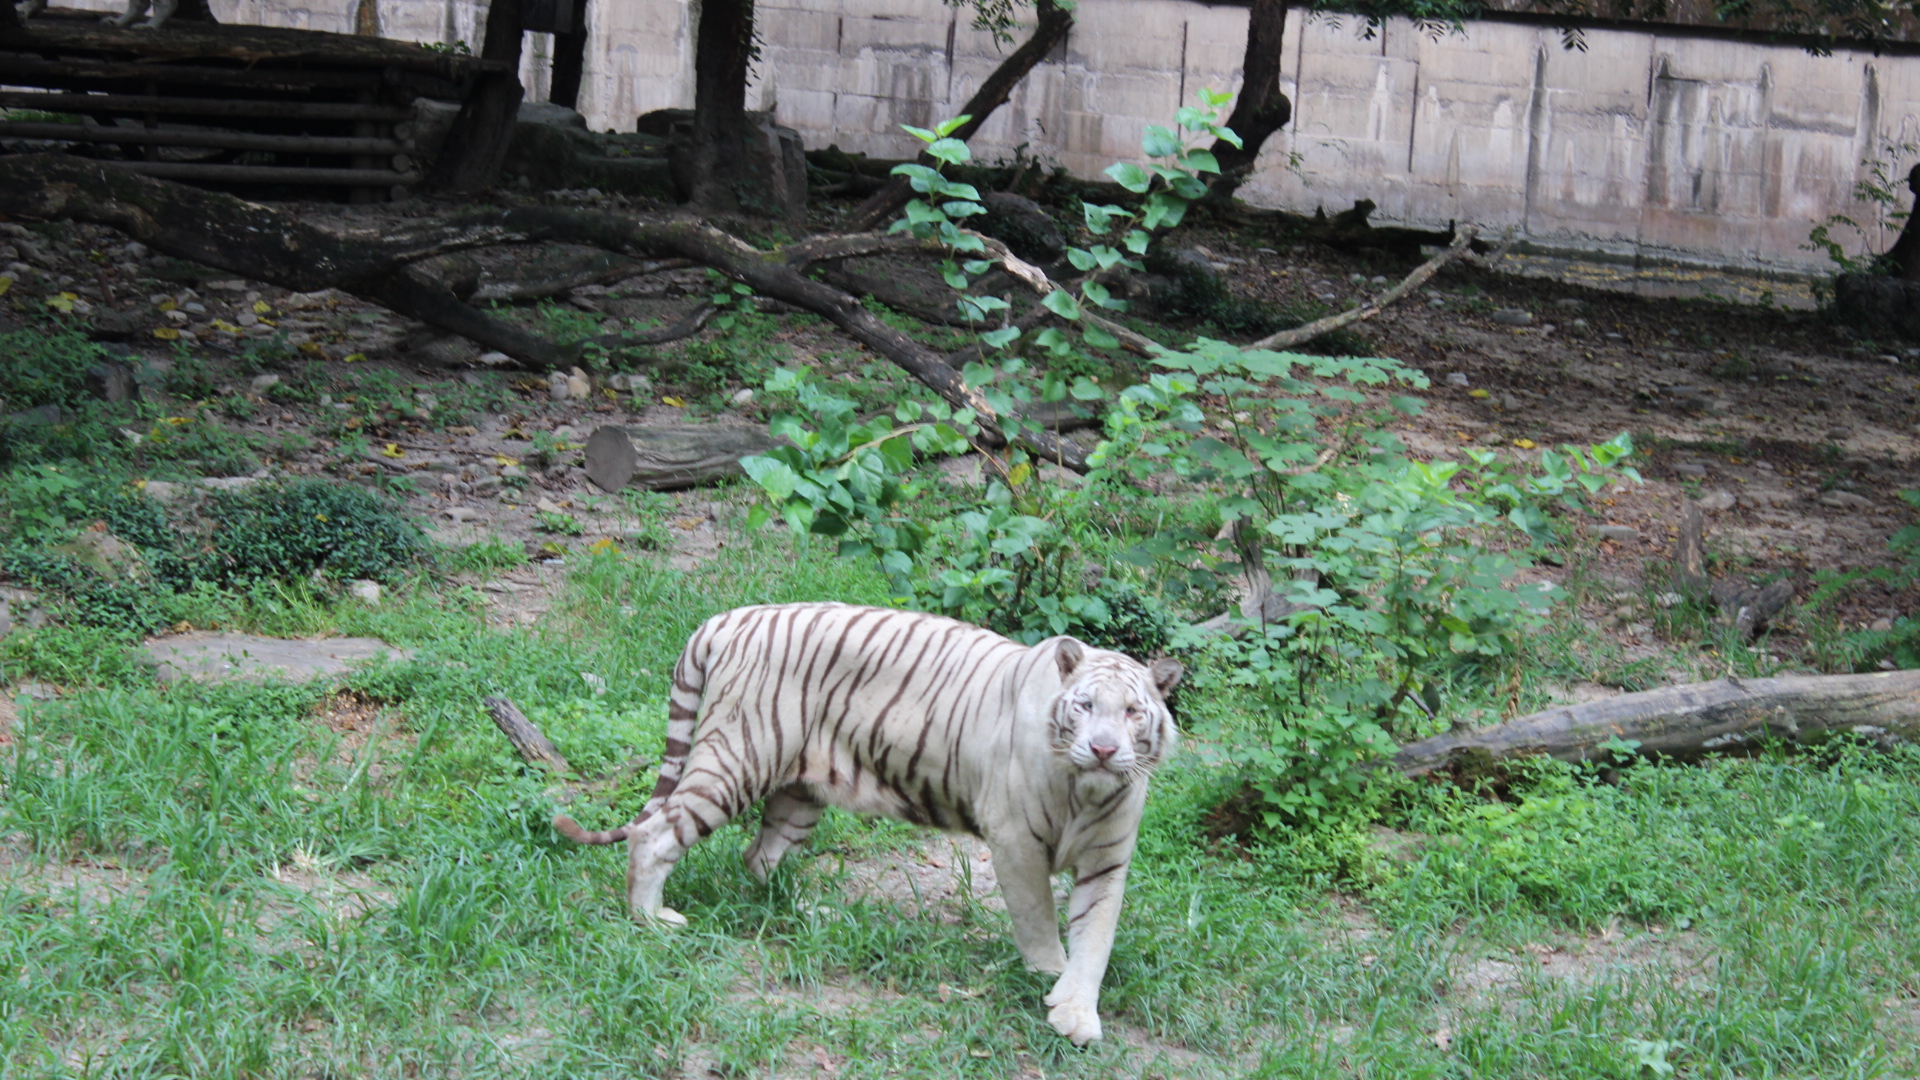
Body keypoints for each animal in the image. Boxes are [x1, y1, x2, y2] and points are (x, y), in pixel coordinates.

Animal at [556, 599, 1175, 1037]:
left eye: (1132, 712)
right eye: (1085, 706)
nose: (1102, 749)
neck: (1086, 792)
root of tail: (731, 617)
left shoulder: (1107, 860)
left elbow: (1095, 937)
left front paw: (1076, 1014)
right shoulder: (1016, 841)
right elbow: (1039, 920)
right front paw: (1046, 976)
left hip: (800, 793)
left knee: (758, 856)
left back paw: (814, 913)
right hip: (737, 760)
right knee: (655, 831)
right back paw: (651, 918)